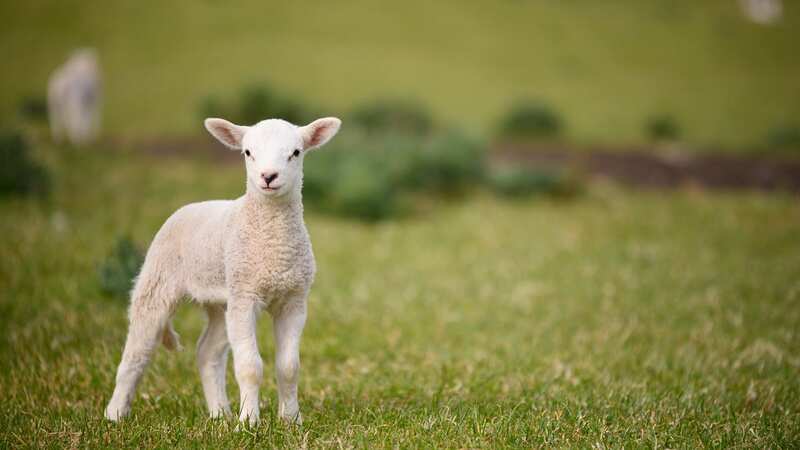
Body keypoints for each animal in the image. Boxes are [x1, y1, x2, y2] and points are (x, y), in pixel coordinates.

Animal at [104, 114, 340, 424]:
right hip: (159, 279)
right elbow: (250, 366)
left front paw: (291, 420)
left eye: (296, 152)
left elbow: (289, 367)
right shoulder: (245, 296)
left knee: (207, 352)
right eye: (248, 153)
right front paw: (249, 422)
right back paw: (115, 413)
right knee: (137, 351)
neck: (273, 247)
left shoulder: (293, 299)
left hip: (221, 300)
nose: (268, 177)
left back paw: (220, 413)